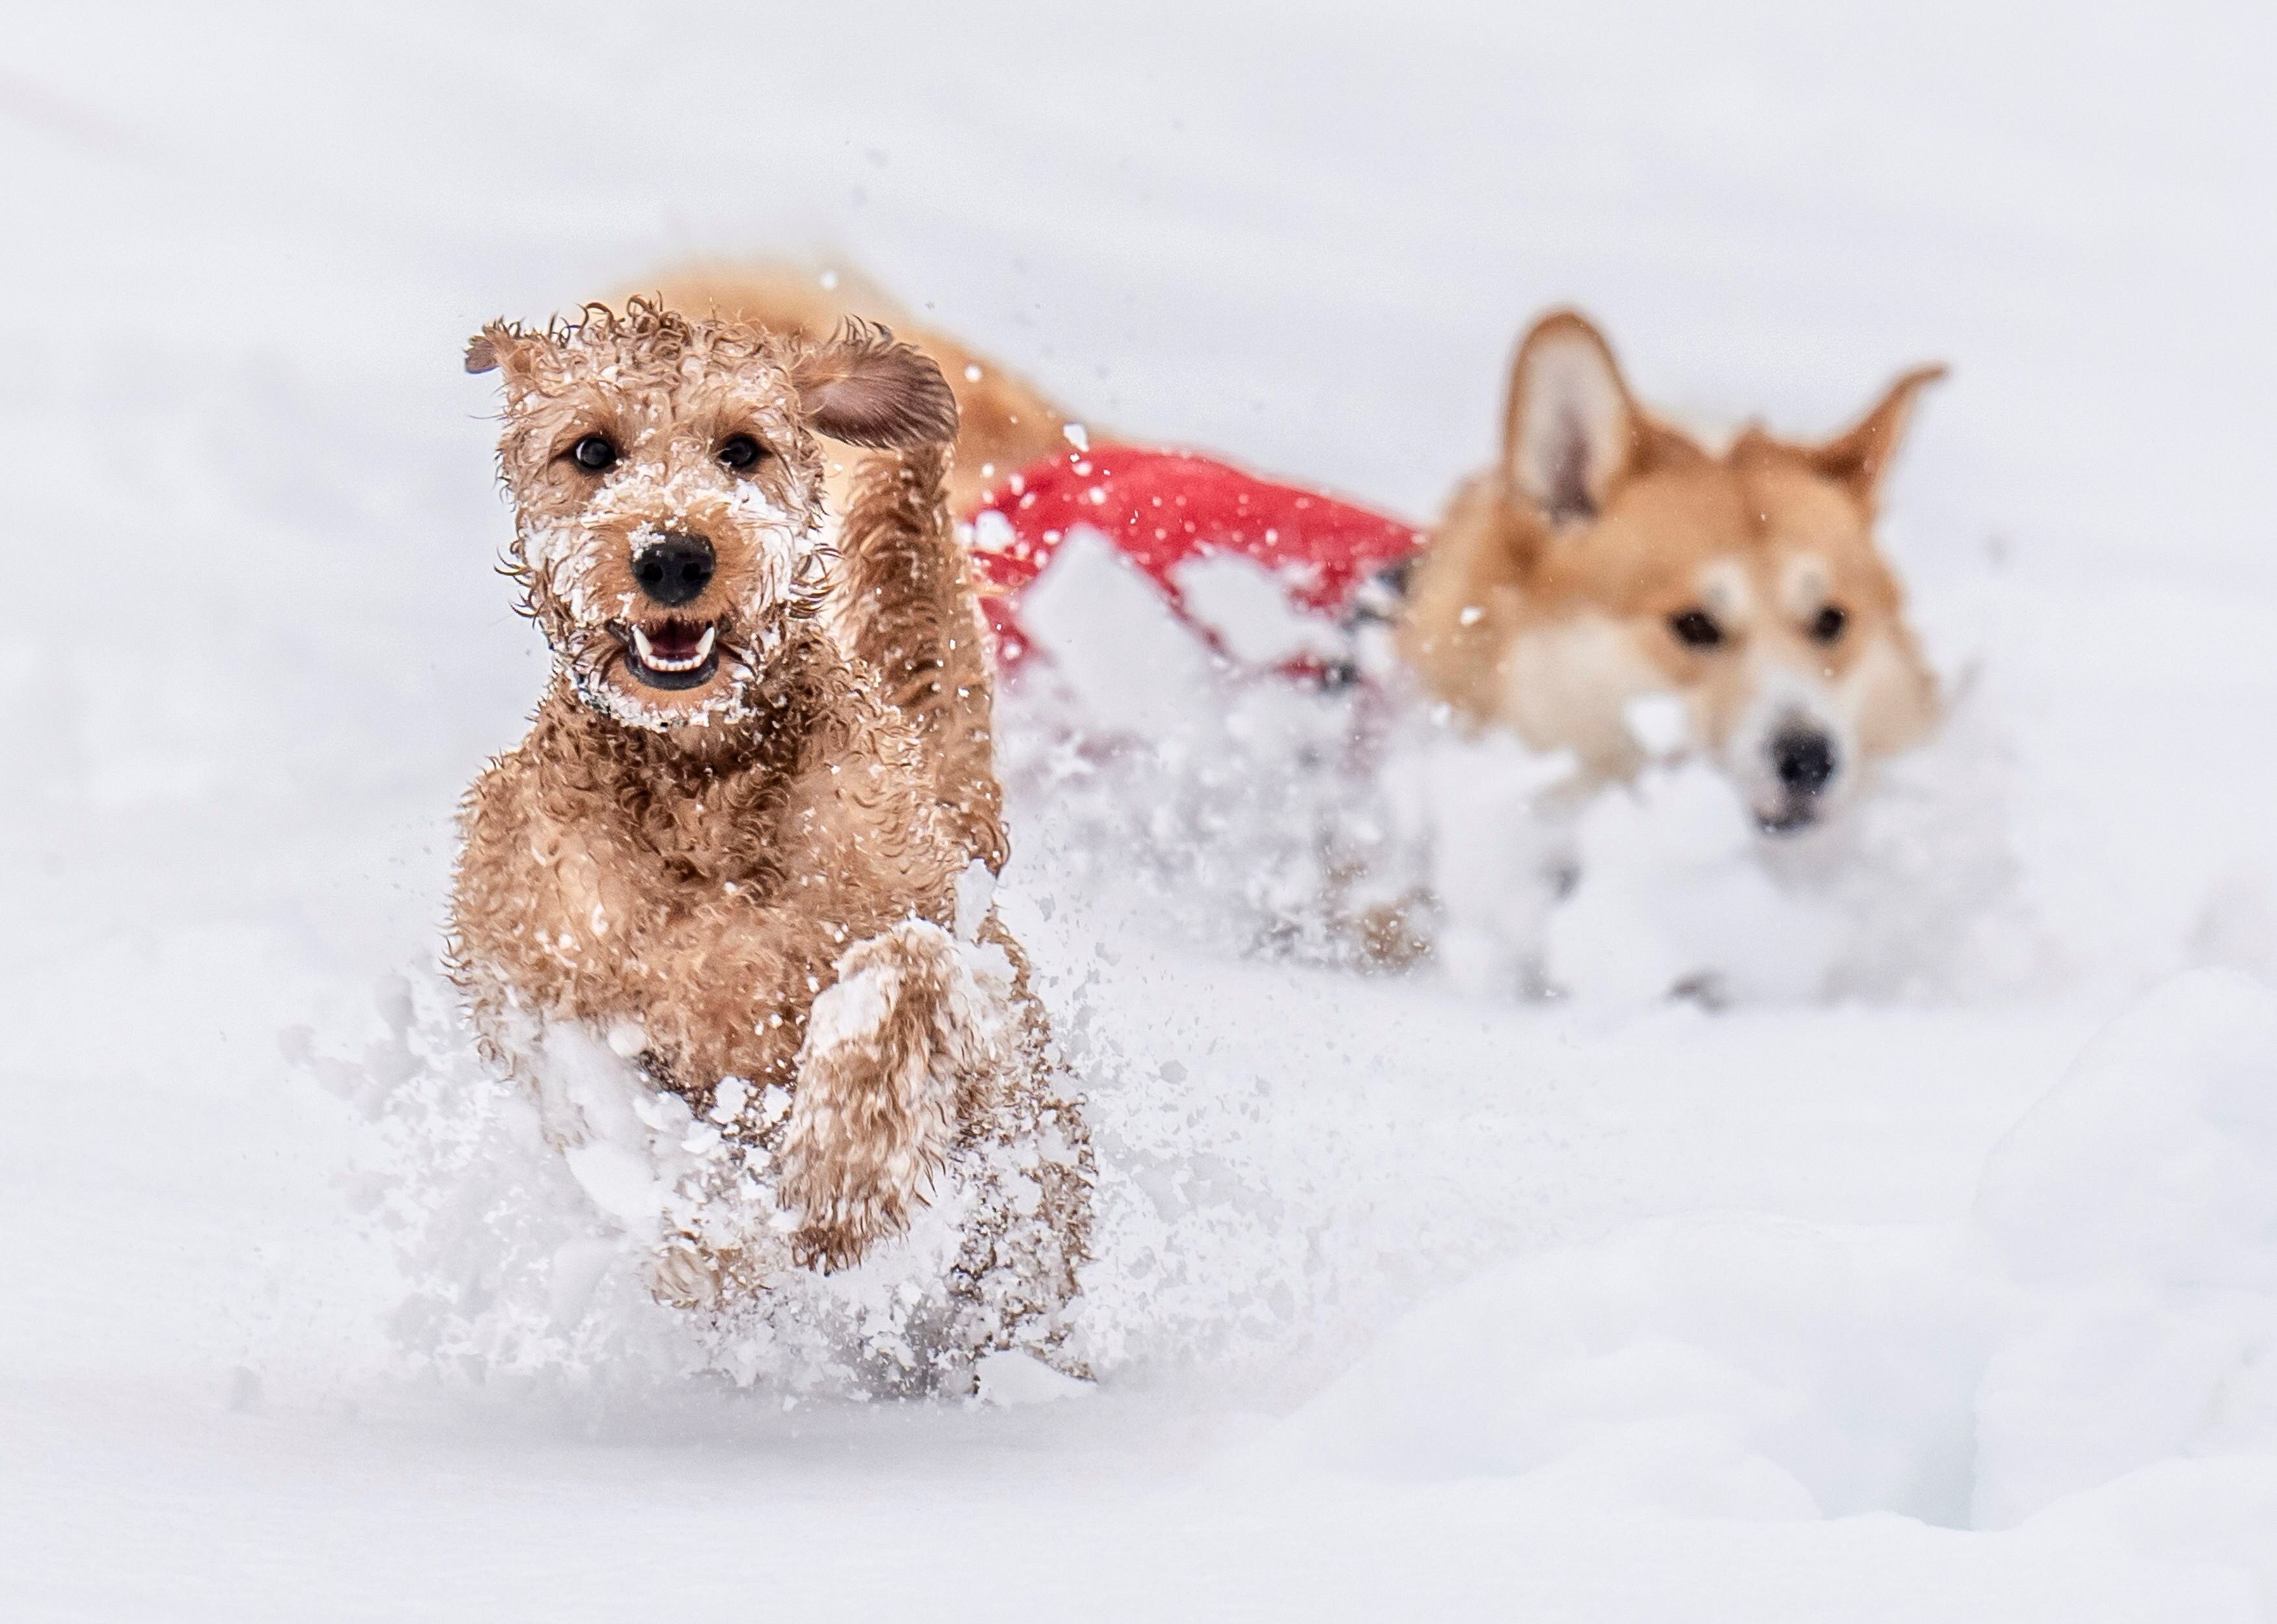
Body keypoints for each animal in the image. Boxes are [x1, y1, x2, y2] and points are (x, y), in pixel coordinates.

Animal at [448, 298, 1088, 1376]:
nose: (673, 556)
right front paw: (702, 1230)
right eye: (592, 450)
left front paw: (842, 1179)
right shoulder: (524, 954)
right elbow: (598, 1091)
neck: (701, 788)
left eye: (742, 449)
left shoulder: (958, 958)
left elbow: (902, 972)